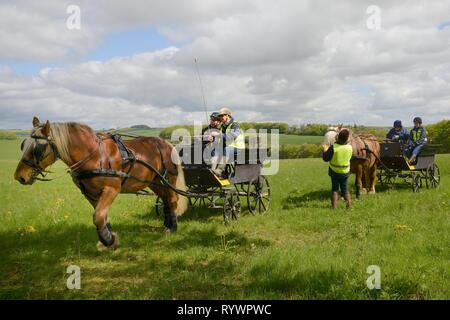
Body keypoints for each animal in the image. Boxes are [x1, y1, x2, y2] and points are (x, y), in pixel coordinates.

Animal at [13, 117, 186, 250]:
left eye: (38, 148)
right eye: (23, 145)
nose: (19, 176)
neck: (94, 155)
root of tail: (167, 143)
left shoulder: (112, 189)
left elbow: (98, 216)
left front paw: (109, 240)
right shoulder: (90, 193)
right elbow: (102, 216)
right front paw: (109, 239)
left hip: (168, 179)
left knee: (172, 200)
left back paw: (172, 227)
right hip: (155, 182)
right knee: (165, 200)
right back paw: (167, 223)